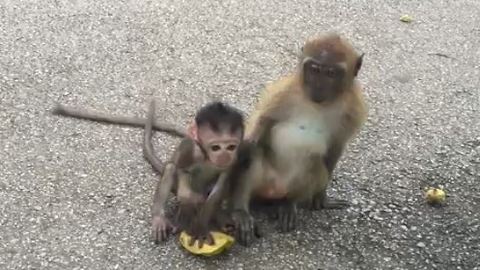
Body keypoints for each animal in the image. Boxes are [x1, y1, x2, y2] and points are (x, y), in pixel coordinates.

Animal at [145, 99, 244, 247]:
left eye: (231, 147)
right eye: (216, 147)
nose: (224, 156)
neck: (207, 157)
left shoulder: (235, 157)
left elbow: (221, 184)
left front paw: (201, 227)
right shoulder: (191, 150)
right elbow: (182, 170)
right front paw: (189, 205)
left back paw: (218, 215)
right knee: (170, 168)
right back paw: (163, 217)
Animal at [229, 32, 368, 246]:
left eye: (331, 73)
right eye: (314, 69)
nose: (318, 86)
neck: (318, 104)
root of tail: (274, 189)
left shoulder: (353, 109)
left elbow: (335, 147)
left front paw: (321, 198)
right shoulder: (284, 91)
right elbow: (263, 120)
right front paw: (246, 145)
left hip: (291, 186)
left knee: (315, 164)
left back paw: (288, 204)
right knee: (256, 153)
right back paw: (241, 212)